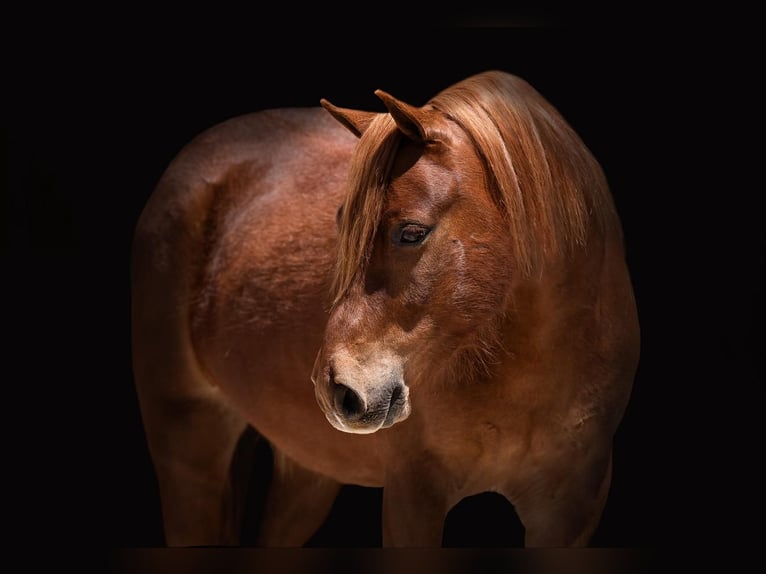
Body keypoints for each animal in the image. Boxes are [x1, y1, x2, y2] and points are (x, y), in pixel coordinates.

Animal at [130, 70, 640, 547]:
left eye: (411, 232)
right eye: (342, 222)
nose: (335, 390)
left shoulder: (572, 509)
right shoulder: (413, 495)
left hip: (307, 471)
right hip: (189, 446)